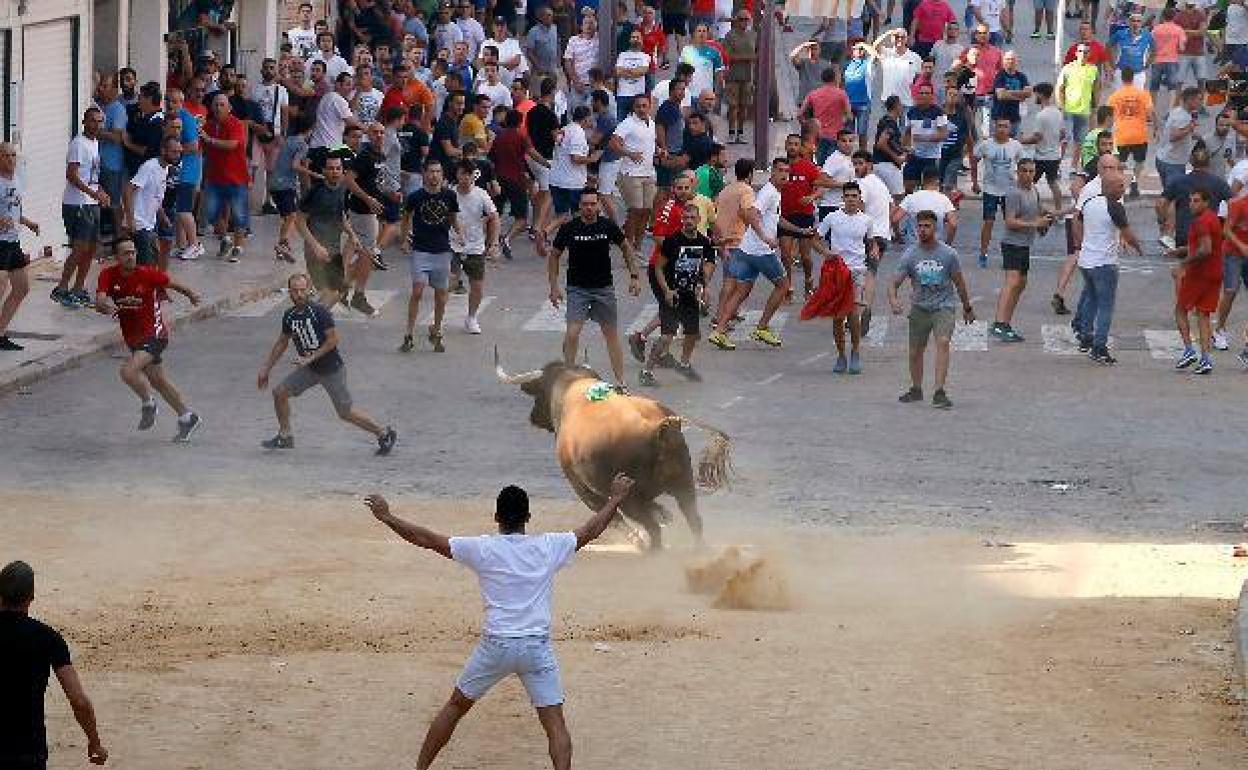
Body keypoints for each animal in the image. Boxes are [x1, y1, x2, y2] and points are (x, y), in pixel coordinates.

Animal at [494, 349, 728, 546]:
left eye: (539, 391)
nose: (533, 417)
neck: (572, 386)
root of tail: (658, 425)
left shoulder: (584, 489)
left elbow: (614, 518)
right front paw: (663, 515)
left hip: (631, 499)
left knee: (653, 528)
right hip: (684, 482)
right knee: (694, 519)